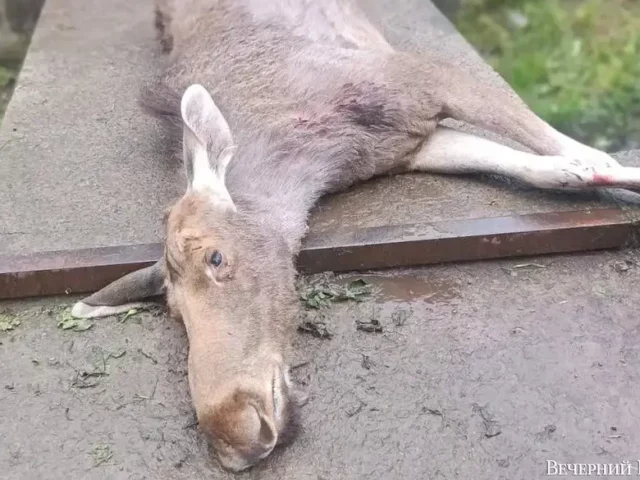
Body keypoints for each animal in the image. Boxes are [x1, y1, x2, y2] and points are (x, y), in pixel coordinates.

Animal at [69, 0, 640, 472]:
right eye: (172, 309)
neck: (317, 157)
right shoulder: (414, 145)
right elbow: (549, 169)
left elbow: (563, 147)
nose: (233, 428)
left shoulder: (424, 78)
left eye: (216, 257)